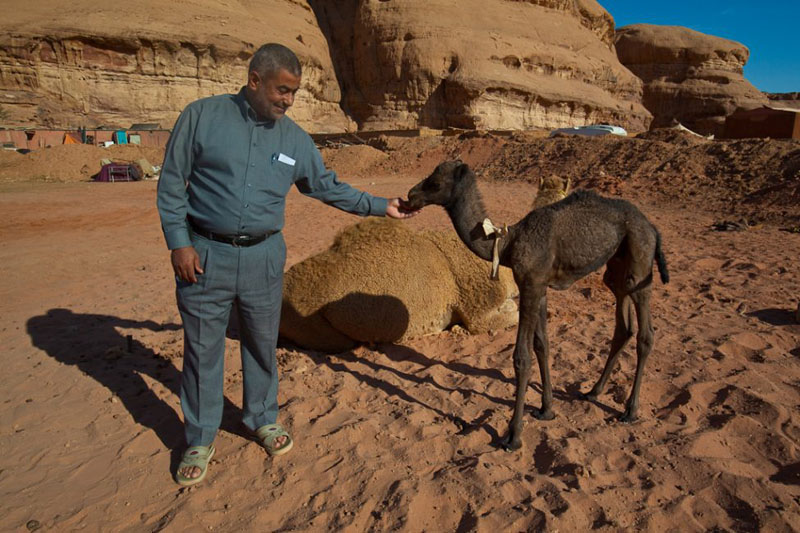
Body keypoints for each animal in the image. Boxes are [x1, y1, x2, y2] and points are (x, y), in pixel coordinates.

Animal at [406, 161, 668, 448]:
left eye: (435, 183)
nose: (410, 195)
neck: (507, 243)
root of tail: (653, 227)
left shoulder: (530, 286)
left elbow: (522, 356)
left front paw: (513, 435)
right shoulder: (539, 288)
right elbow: (542, 345)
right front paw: (546, 409)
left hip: (640, 258)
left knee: (645, 332)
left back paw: (630, 411)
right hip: (617, 267)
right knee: (623, 324)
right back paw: (593, 392)